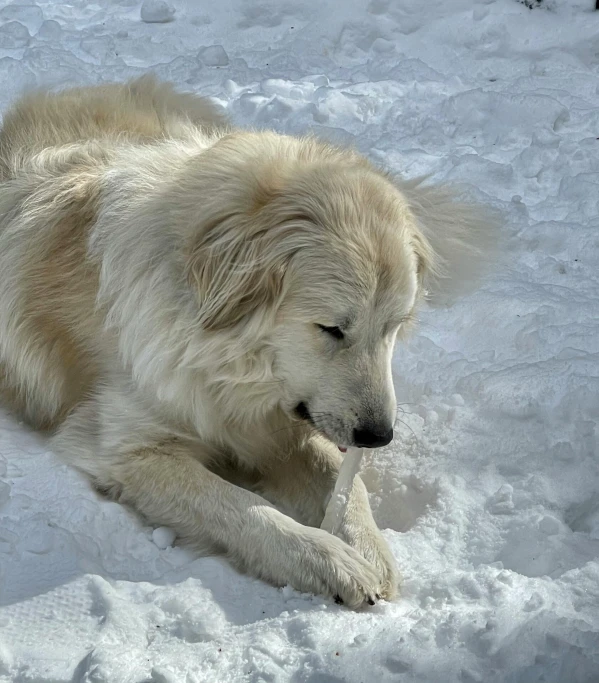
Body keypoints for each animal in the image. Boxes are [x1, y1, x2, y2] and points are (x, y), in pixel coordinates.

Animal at [0, 76, 496, 608]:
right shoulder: (128, 450)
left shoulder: (286, 426)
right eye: (331, 329)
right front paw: (332, 561)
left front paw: (369, 547)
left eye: (394, 328)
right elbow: (243, 508)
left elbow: (348, 485)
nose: (379, 436)